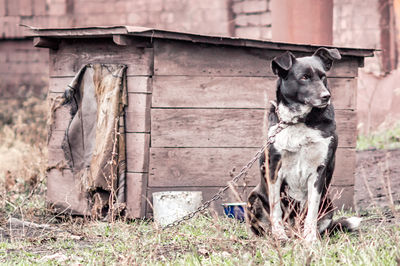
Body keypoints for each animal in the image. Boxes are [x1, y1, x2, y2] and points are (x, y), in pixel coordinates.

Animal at [245, 47, 360, 243]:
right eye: (304, 77)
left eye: (323, 76)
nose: (326, 96)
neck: (298, 121)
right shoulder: (274, 169)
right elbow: (276, 210)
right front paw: (280, 236)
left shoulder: (319, 171)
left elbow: (311, 211)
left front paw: (310, 239)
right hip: (254, 197)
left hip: (328, 203)